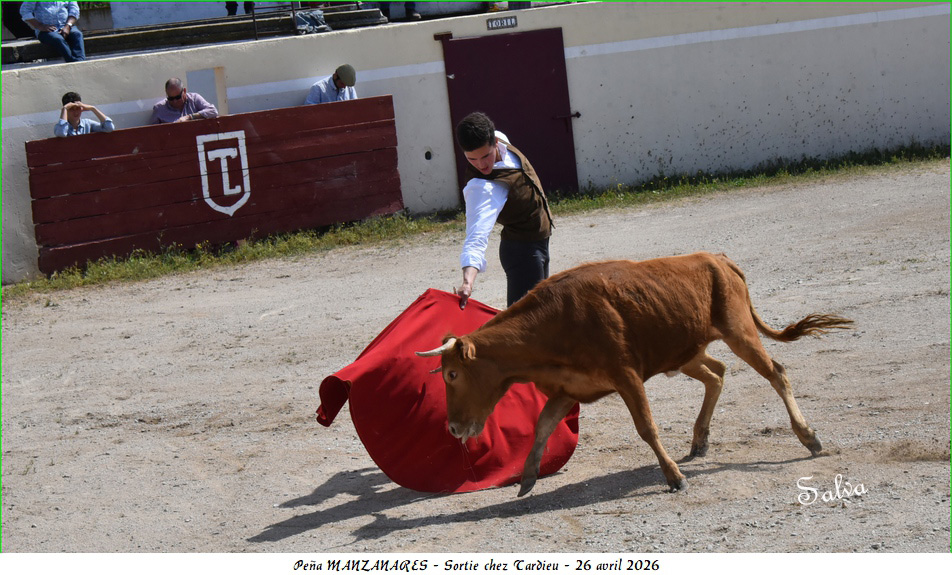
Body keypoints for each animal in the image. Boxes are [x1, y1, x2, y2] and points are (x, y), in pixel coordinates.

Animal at [417, 252, 853, 496]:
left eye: (451, 375)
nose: (453, 428)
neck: (553, 325)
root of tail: (719, 259)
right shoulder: (567, 389)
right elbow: (542, 425)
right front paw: (527, 478)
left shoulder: (626, 376)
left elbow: (646, 428)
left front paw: (674, 478)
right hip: (686, 352)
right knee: (716, 373)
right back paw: (699, 441)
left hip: (739, 332)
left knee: (775, 372)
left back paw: (808, 437)